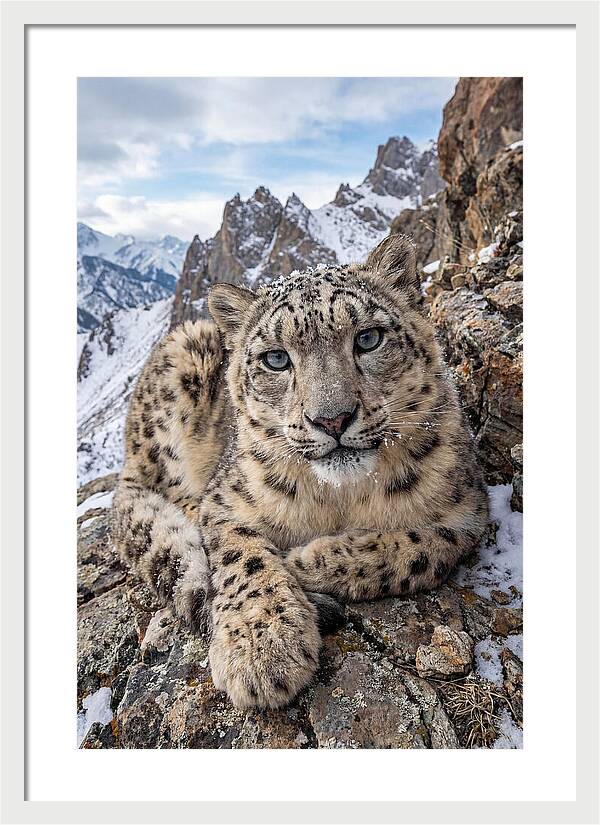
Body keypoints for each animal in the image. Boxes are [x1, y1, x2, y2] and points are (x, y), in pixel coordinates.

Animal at [112, 234, 489, 709]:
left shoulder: (467, 512)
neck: (340, 498)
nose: (332, 419)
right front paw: (262, 648)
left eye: (368, 338)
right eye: (276, 359)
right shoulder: (226, 501)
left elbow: (419, 549)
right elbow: (243, 557)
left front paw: (306, 561)